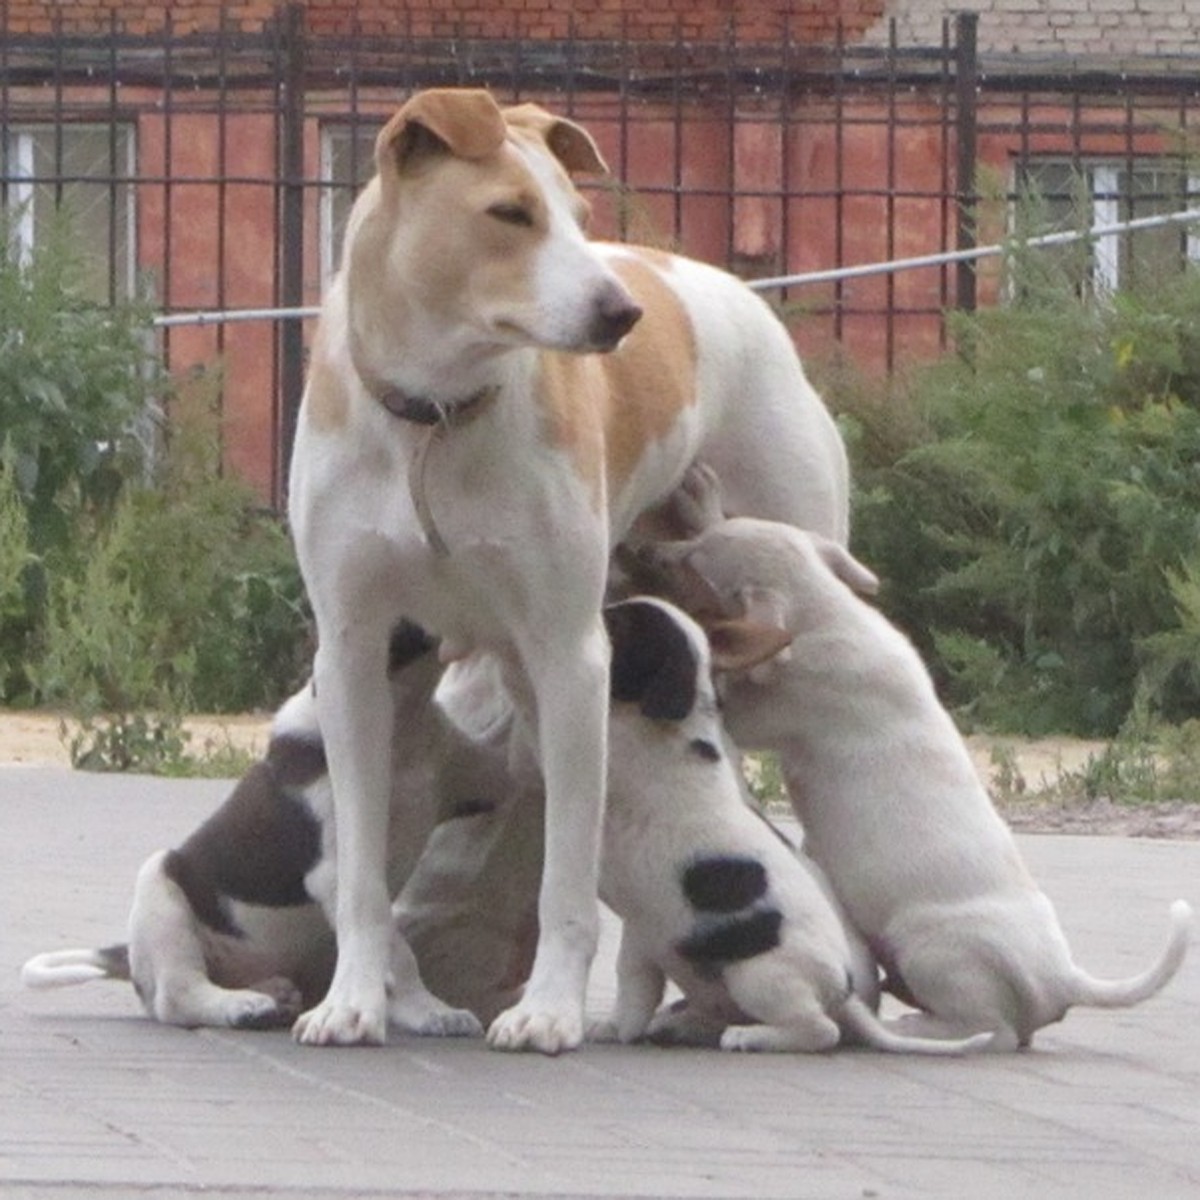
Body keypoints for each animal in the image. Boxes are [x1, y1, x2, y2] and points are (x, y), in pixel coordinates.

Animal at [288, 91, 854, 1051]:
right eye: (509, 214)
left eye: (581, 217)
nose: (620, 313)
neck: (434, 422)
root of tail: (712, 282)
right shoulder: (354, 656)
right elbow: (362, 869)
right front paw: (352, 1000)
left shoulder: (569, 656)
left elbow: (567, 875)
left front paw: (548, 1010)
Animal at [638, 468, 1190, 1051]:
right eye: (692, 544)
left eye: (695, 560)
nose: (646, 549)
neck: (826, 611)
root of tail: (1065, 978)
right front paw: (704, 498)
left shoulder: (772, 711)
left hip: (933, 953)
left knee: (990, 1030)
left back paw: (916, 1025)